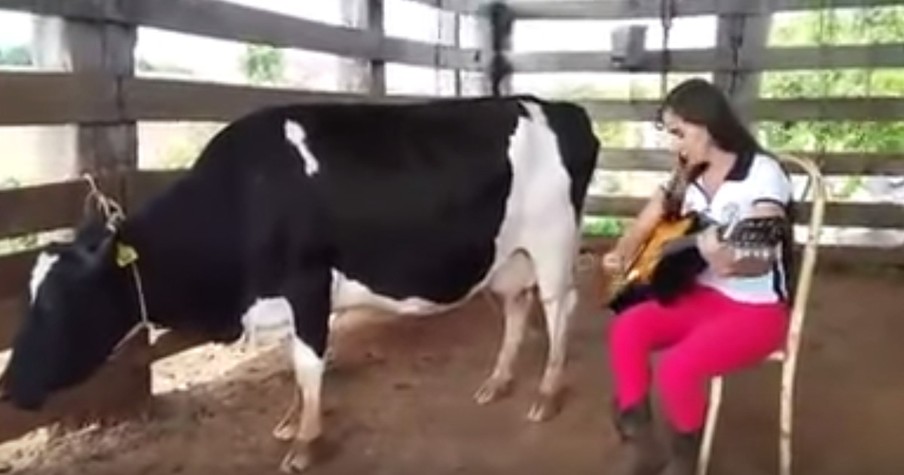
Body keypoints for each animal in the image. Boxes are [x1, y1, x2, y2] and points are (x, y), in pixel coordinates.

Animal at [0, 94, 600, 472]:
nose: (9, 386)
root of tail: (555, 107)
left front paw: (306, 443)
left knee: (559, 308)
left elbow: (310, 365)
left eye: (59, 304)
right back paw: (497, 382)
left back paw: (546, 394)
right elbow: (294, 364)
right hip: (505, 257)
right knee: (517, 308)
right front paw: (291, 423)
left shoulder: (309, 286)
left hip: (552, 241)